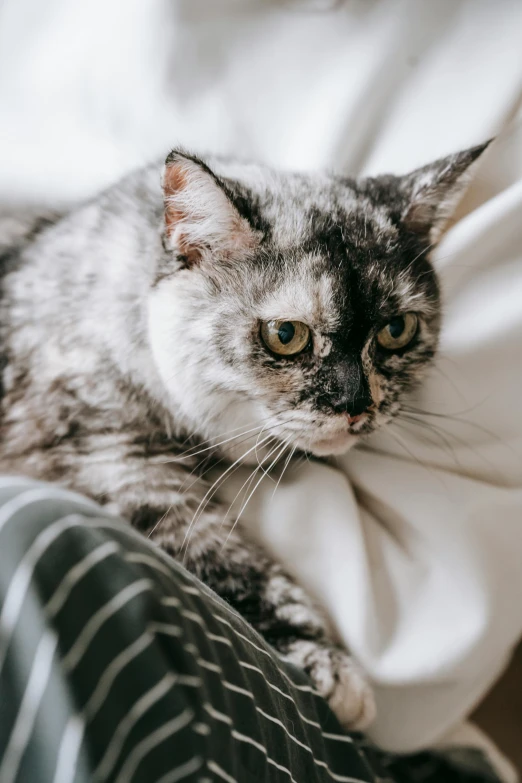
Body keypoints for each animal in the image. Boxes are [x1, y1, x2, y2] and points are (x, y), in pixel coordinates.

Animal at [0, 144, 486, 732]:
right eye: (285, 336)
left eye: (397, 330)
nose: (357, 406)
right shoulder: (108, 462)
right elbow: (226, 557)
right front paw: (324, 659)